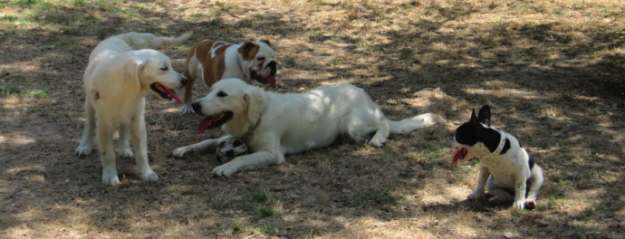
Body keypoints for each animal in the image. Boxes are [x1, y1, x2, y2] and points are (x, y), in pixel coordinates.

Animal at [74, 31, 190, 185]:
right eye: (164, 68)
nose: (185, 80)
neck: (126, 89)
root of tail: (115, 37)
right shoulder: (104, 124)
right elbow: (107, 153)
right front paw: (110, 176)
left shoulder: (137, 119)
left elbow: (141, 151)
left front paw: (146, 173)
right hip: (89, 104)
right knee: (89, 122)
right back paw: (84, 146)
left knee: (123, 127)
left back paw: (124, 149)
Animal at [173, 78, 442, 176]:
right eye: (210, 90)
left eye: (222, 94)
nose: (195, 104)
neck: (258, 116)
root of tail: (363, 93)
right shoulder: (231, 135)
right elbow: (207, 141)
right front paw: (185, 149)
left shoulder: (272, 153)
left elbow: (241, 158)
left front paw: (226, 167)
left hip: (354, 124)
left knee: (384, 121)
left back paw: (378, 138)